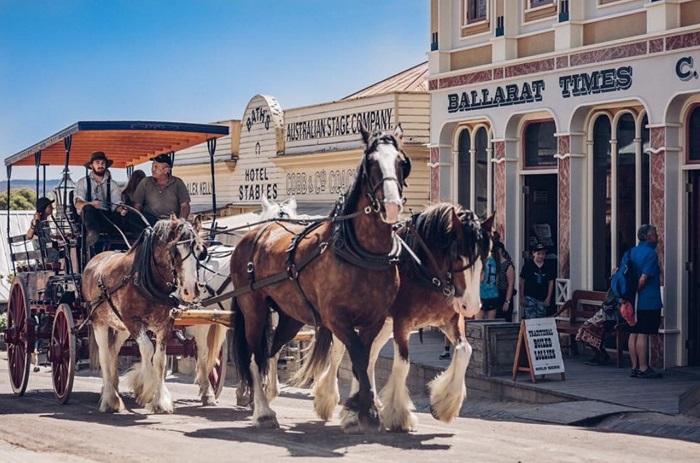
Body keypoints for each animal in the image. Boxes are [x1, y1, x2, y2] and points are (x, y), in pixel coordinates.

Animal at [83, 216, 206, 416]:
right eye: (175, 250)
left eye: (200, 250)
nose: (190, 291)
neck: (147, 279)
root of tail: (95, 259)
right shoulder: (133, 322)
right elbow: (148, 350)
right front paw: (146, 390)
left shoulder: (165, 324)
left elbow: (160, 359)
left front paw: (160, 401)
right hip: (99, 322)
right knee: (104, 355)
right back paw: (110, 398)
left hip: (121, 327)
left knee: (112, 351)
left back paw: (113, 390)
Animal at [232, 125, 410, 434]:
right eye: (371, 163)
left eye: (401, 162)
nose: (391, 206)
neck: (361, 252)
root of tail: (252, 234)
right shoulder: (337, 319)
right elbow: (359, 356)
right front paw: (364, 410)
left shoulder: (374, 319)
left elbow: (364, 359)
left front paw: (359, 407)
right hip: (253, 308)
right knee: (256, 356)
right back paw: (263, 411)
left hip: (290, 316)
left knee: (271, 351)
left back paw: (268, 395)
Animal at [296, 205, 492, 434]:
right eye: (458, 254)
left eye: (484, 256)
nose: (471, 306)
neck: (424, 270)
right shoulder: (402, 324)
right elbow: (402, 365)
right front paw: (399, 414)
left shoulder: (450, 320)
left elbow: (464, 351)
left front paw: (444, 405)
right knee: (339, 355)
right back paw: (330, 401)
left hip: (382, 325)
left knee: (368, 358)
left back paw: (364, 405)